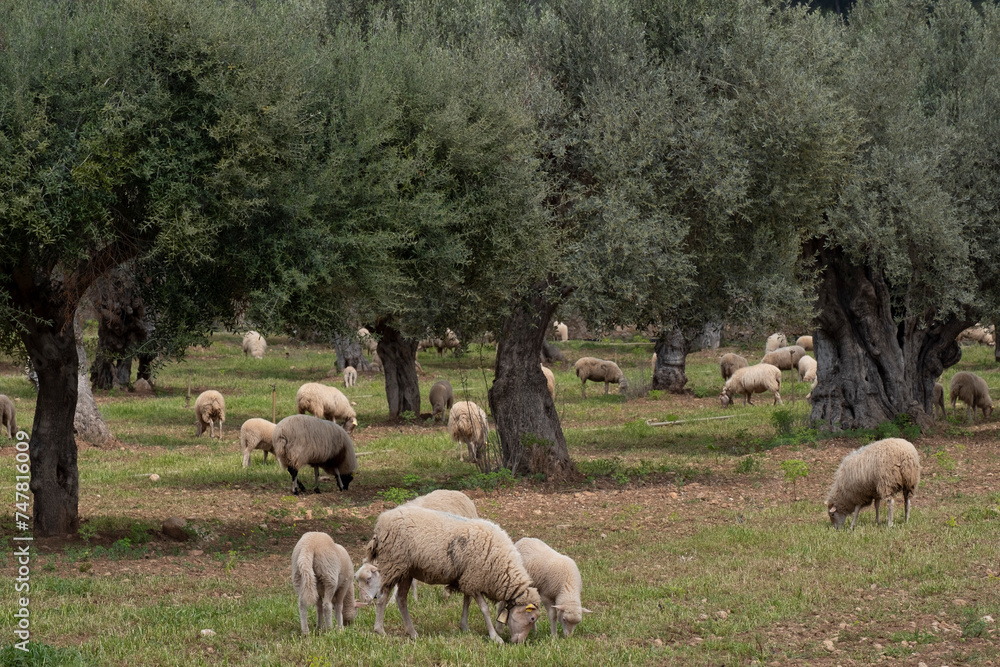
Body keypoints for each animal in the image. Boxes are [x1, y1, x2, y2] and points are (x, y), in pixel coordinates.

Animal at [357, 505, 542, 644]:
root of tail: (383, 520)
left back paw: (412, 632)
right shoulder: (475, 577)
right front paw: (495, 637)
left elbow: (467, 601)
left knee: (401, 599)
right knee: (383, 597)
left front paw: (464, 627)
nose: (519, 643)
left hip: (406, 570)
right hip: (394, 563)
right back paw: (380, 630)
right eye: (532, 619)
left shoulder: (468, 577)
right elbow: (484, 609)